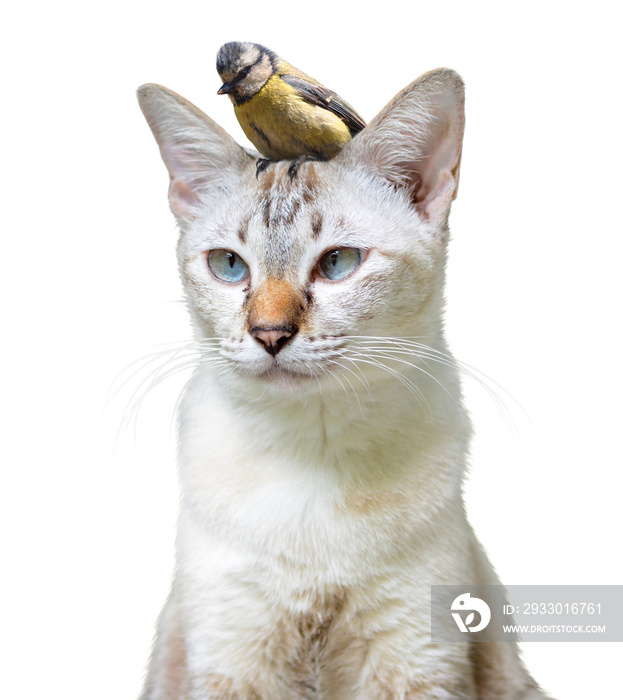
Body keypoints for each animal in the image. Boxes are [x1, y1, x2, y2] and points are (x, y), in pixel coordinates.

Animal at [136, 67, 552, 700]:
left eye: (338, 263)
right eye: (229, 266)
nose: (269, 333)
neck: (313, 453)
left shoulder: (415, 658)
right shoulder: (230, 657)